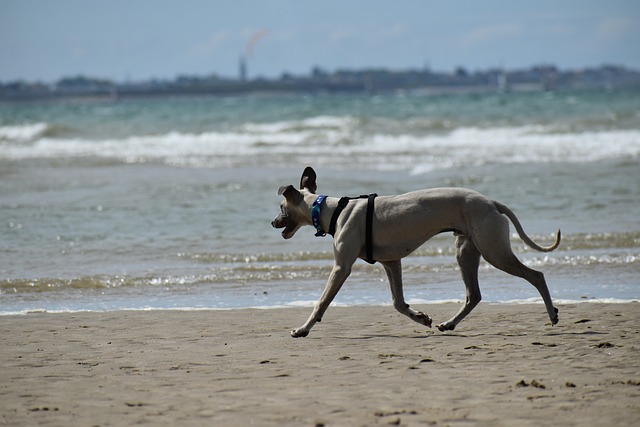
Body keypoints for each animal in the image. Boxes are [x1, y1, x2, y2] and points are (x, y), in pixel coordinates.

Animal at [272, 167, 560, 338]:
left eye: (281, 207)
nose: (272, 222)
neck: (332, 210)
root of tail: (491, 202)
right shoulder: (391, 262)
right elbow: (399, 303)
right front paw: (421, 318)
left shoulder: (342, 267)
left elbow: (321, 302)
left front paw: (303, 328)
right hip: (466, 251)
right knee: (474, 295)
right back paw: (449, 323)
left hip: (494, 251)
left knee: (536, 276)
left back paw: (552, 314)